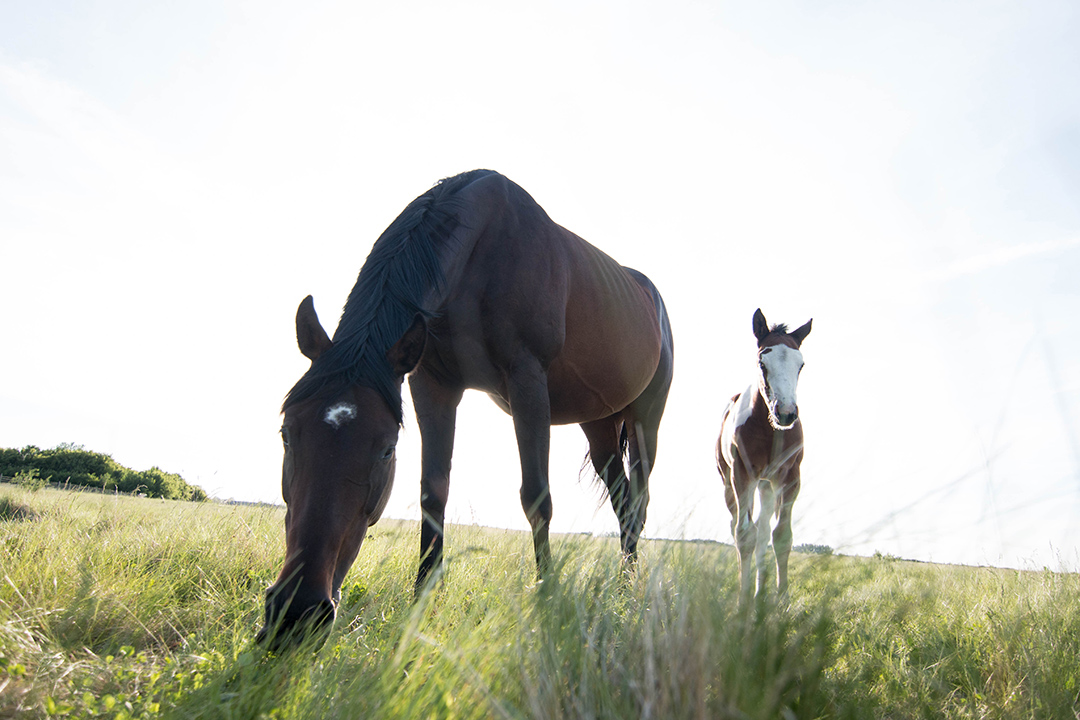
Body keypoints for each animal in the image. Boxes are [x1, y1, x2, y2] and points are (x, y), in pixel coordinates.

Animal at [257, 169, 674, 648]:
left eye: (385, 450)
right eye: (287, 433)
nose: (296, 613)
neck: (484, 253)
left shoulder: (528, 379)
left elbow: (536, 496)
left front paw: (547, 595)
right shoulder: (432, 384)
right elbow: (432, 492)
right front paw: (422, 598)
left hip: (645, 420)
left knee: (638, 504)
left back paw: (627, 591)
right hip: (600, 424)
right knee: (624, 504)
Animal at [716, 308, 811, 602]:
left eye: (800, 365)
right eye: (762, 362)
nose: (787, 413)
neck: (771, 430)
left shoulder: (791, 478)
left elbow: (781, 536)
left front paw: (782, 600)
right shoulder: (743, 474)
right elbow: (744, 535)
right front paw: (744, 601)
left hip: (767, 486)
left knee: (763, 531)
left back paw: (761, 593)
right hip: (731, 483)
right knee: (738, 527)